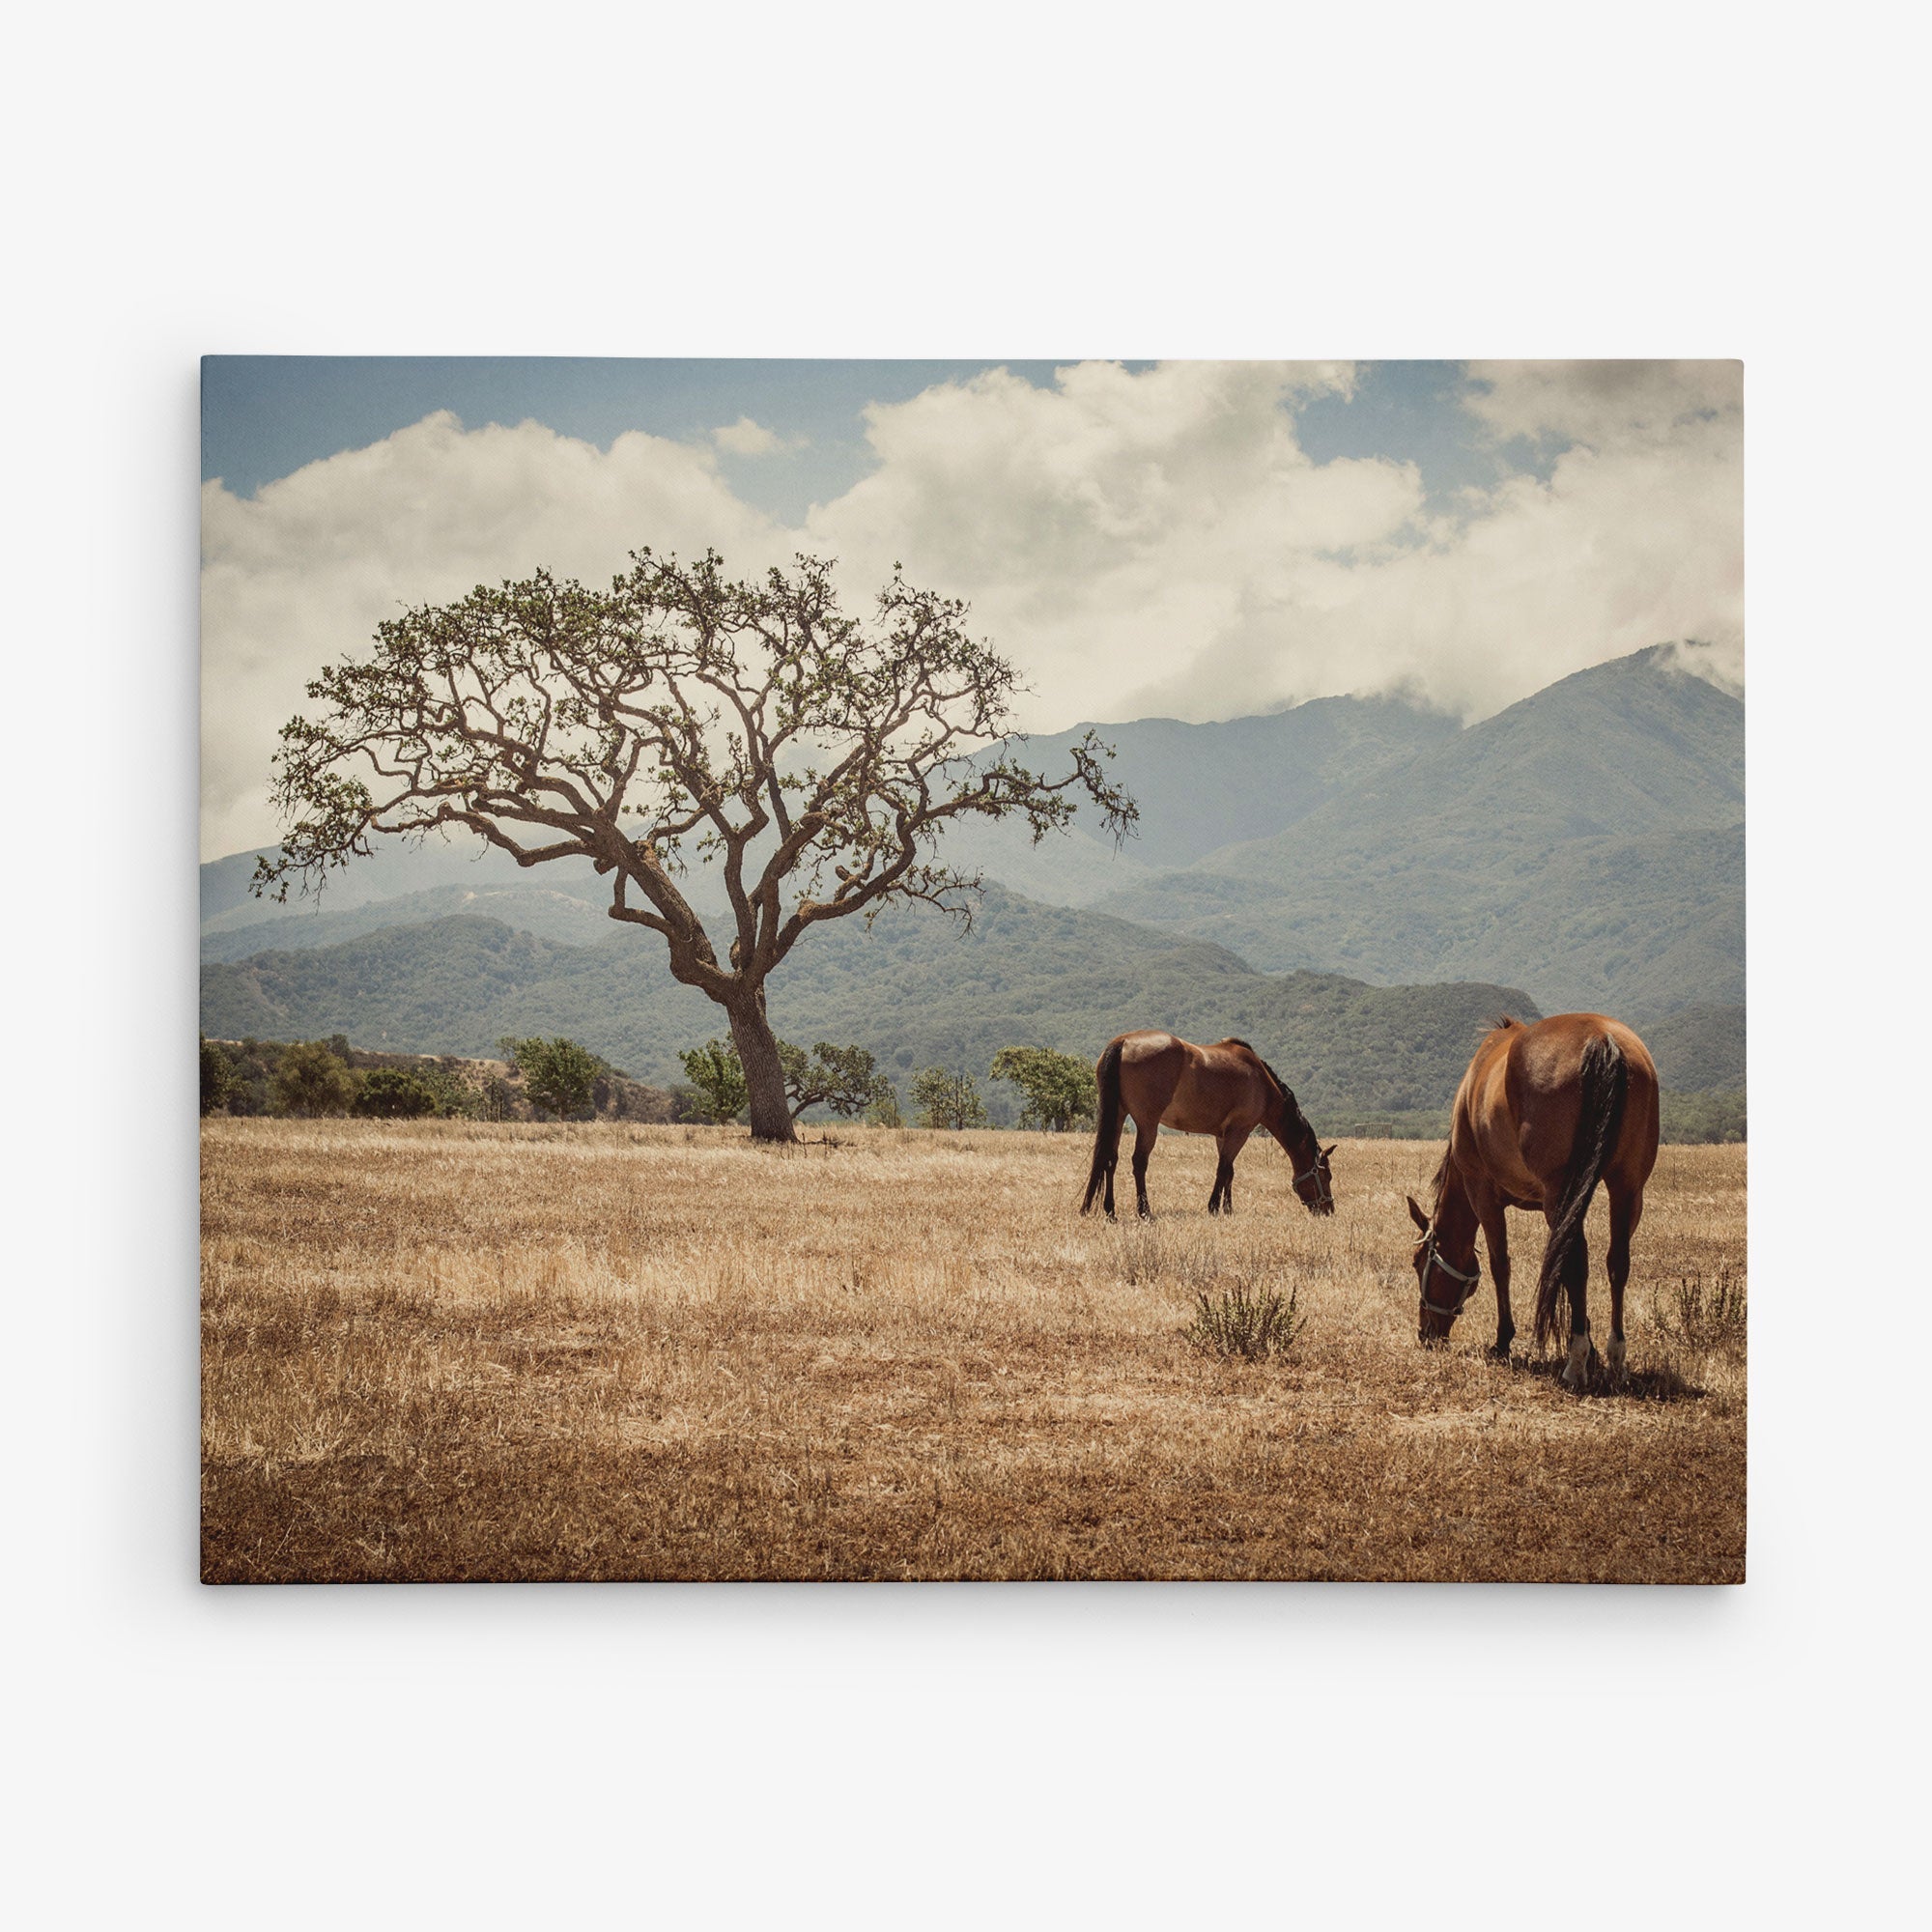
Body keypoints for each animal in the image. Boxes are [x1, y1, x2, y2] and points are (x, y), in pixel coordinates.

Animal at [1082, 1036, 1337, 1213]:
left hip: (1118, 1116)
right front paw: (1213, 1207)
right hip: (1147, 1124)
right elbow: (1223, 1168)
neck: (1263, 1084)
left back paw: (1110, 1211)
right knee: (1139, 1162)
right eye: (1326, 1176)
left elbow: (1229, 1171)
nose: (1328, 1209)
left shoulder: (1222, 1135)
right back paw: (1144, 1211)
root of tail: (1123, 1042)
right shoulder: (1239, 1132)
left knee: (1109, 1159)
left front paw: (1228, 1209)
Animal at [1406, 1012, 1662, 1391]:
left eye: (1418, 1262)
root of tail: (1603, 1039)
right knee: (1616, 1263)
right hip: (1627, 1188)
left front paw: (1504, 1340)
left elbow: (1501, 1265)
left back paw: (1574, 1364)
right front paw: (1593, 1349)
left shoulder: (1483, 1193)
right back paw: (1615, 1359)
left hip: (1562, 1191)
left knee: (1578, 1265)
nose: (1426, 1333)